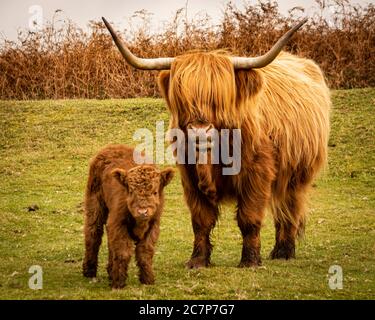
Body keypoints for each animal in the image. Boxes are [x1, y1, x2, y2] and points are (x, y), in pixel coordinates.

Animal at [83, 144, 174, 288]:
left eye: (155, 192)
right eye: (131, 191)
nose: (143, 211)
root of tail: (112, 146)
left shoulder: (153, 225)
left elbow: (145, 253)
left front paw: (148, 280)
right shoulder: (118, 223)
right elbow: (123, 252)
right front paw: (119, 283)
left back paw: (110, 271)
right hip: (95, 202)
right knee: (93, 232)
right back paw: (89, 271)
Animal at [103, 17, 332, 268]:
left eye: (218, 100)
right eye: (183, 98)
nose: (200, 132)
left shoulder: (257, 173)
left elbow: (249, 218)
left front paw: (250, 260)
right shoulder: (189, 175)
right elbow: (200, 220)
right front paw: (198, 260)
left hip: (297, 174)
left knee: (289, 208)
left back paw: (284, 251)